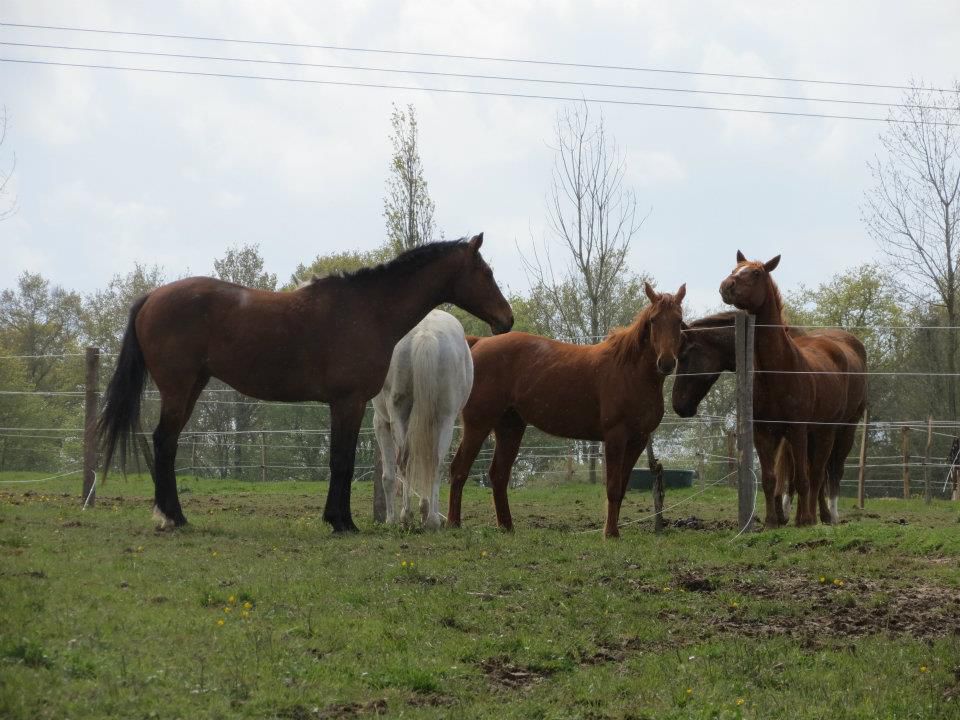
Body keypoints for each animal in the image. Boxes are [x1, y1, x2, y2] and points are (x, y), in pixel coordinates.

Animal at [373, 309, 473, 529]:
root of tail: (425, 333)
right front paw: (425, 510)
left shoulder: (381, 423)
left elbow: (388, 476)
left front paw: (390, 519)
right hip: (445, 419)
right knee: (435, 463)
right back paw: (432, 520)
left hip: (399, 415)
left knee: (405, 463)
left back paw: (406, 517)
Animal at [448, 282, 686, 538]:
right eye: (653, 320)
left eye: (679, 320)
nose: (666, 363)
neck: (630, 371)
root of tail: (479, 343)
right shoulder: (615, 436)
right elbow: (613, 487)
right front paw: (610, 533)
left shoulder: (638, 440)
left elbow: (622, 488)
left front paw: (613, 531)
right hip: (478, 424)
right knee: (459, 469)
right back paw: (453, 523)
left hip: (510, 427)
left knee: (498, 475)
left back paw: (507, 527)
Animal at [719, 252, 866, 526]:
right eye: (735, 269)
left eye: (756, 273)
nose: (726, 286)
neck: (779, 369)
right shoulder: (764, 432)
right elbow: (770, 478)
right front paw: (771, 521)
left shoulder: (797, 429)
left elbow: (803, 477)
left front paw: (804, 520)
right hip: (815, 434)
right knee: (816, 475)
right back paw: (817, 514)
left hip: (838, 430)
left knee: (826, 474)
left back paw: (826, 516)